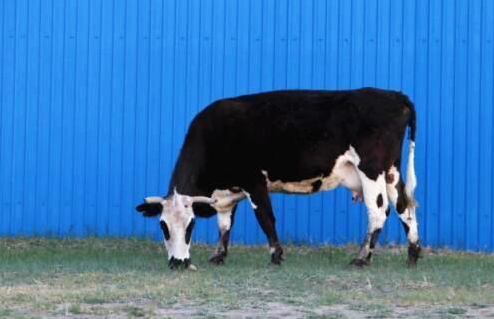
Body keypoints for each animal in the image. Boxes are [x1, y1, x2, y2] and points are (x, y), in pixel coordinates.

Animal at [136, 89, 420, 272]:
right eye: (163, 226)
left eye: (191, 226)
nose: (178, 263)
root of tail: (394, 95)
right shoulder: (228, 193)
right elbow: (225, 225)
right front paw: (218, 256)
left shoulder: (254, 182)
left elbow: (265, 219)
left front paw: (275, 256)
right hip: (391, 172)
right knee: (404, 208)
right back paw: (413, 255)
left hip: (371, 170)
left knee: (379, 212)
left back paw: (362, 259)